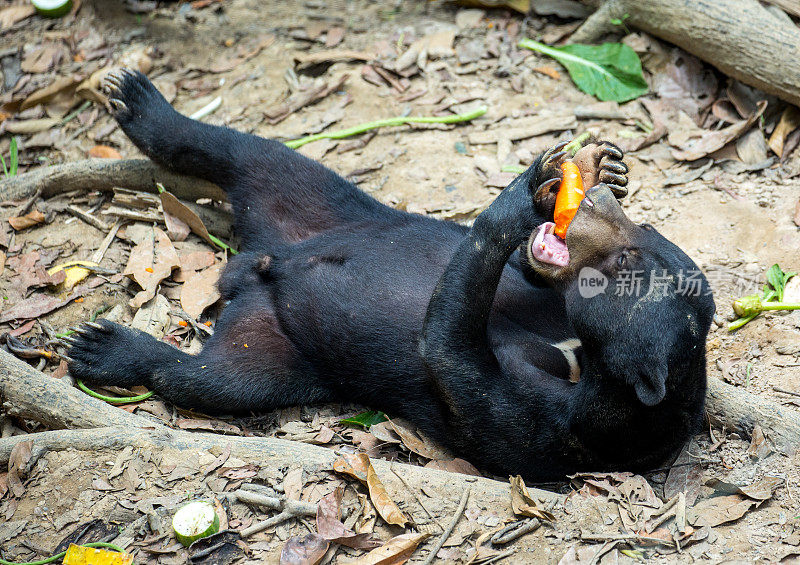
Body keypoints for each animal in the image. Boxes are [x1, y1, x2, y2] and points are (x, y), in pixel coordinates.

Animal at [62, 68, 716, 478]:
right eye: (645, 233)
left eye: (627, 262)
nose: (599, 202)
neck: (584, 357)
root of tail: (250, 271)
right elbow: (515, 281)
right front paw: (593, 168)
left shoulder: (551, 425)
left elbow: (448, 347)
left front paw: (528, 187)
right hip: (320, 203)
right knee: (248, 152)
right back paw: (138, 101)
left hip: (275, 350)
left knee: (205, 378)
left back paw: (104, 348)